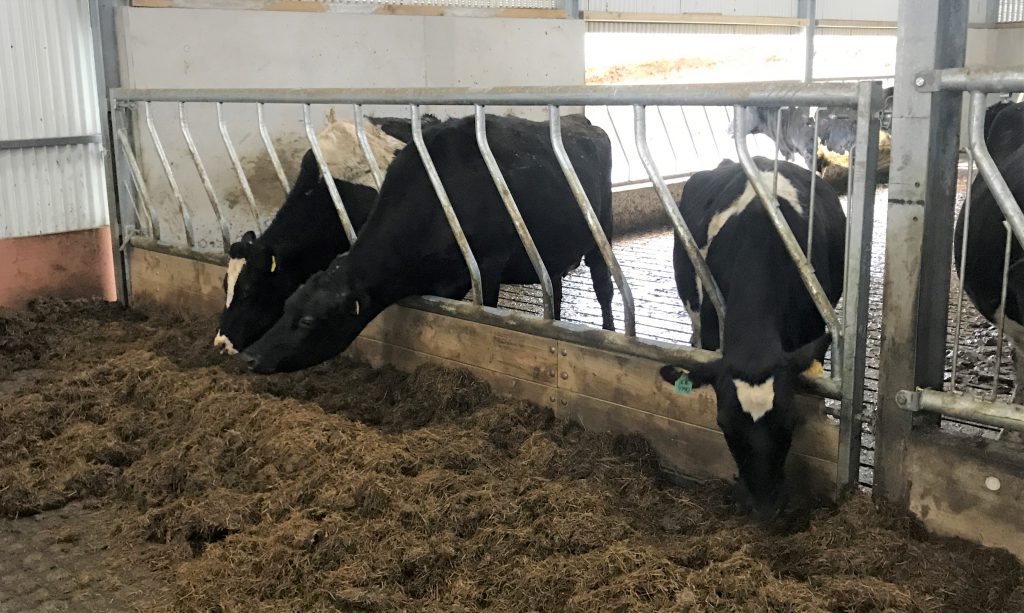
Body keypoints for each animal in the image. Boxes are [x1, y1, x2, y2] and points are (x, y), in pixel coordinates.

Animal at [237, 113, 616, 374]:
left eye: (309, 320)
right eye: (286, 305)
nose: (250, 357)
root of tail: (580, 122)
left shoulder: (487, 264)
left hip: (603, 232)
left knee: (604, 289)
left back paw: (609, 332)